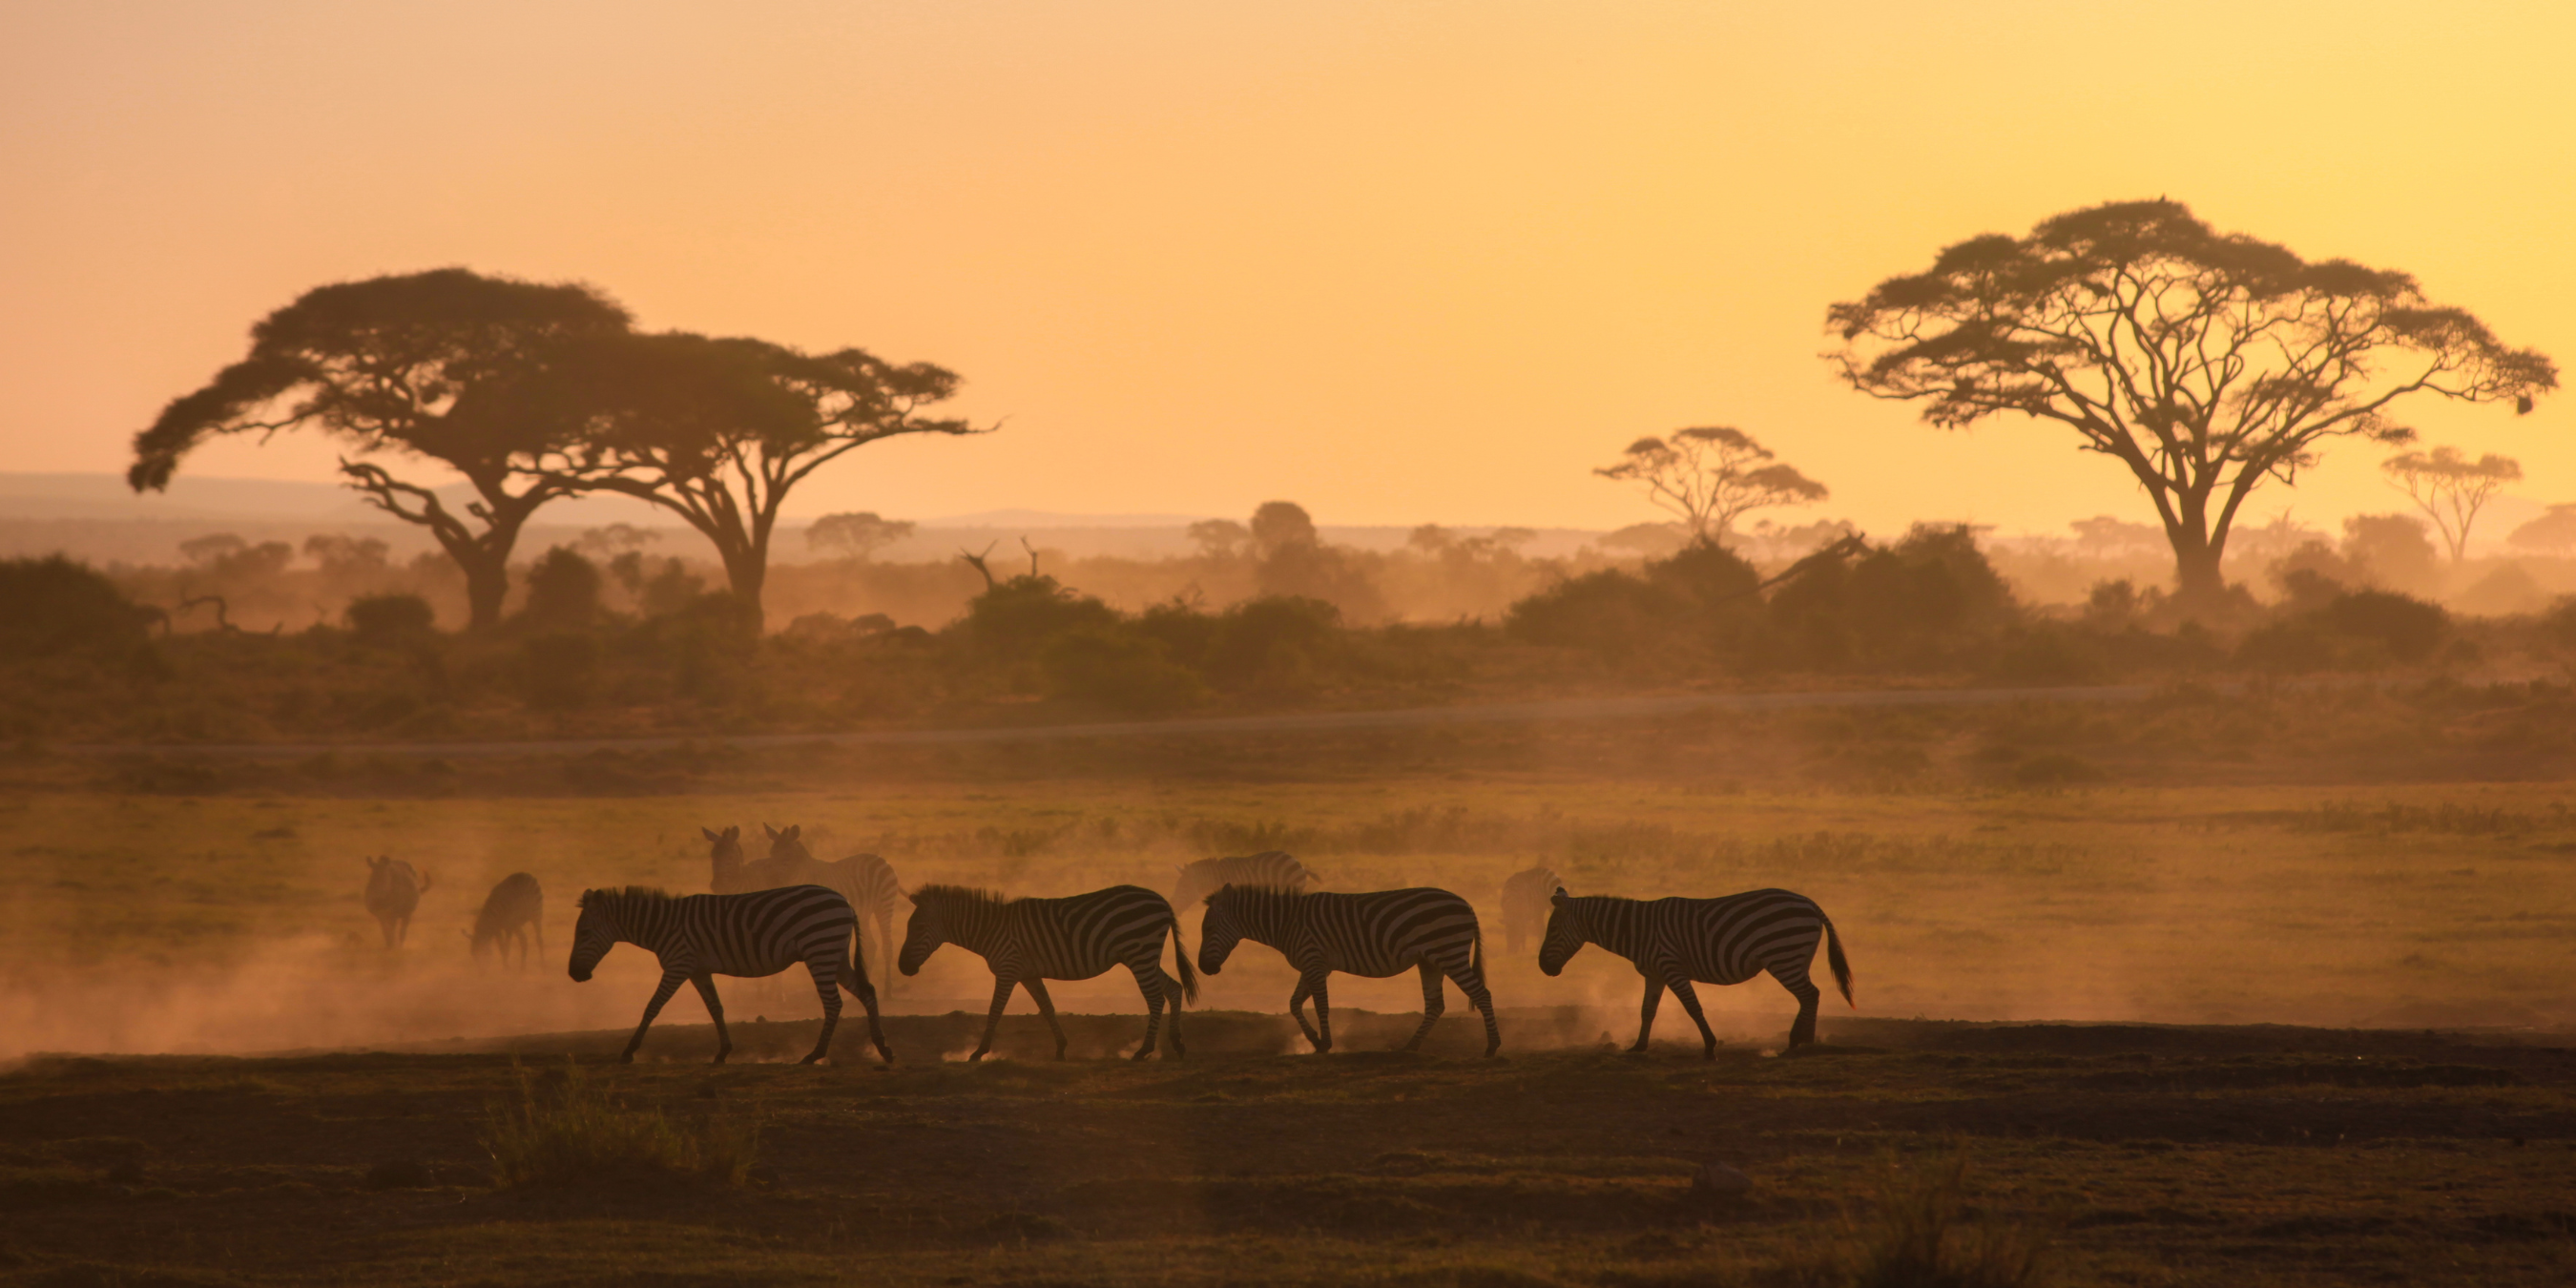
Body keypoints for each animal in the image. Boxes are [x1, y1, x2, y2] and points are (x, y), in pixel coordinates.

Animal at [567, 884, 893, 1066]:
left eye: (584, 933)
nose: (573, 974)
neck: (662, 926)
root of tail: (845, 901)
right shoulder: (698, 969)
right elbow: (716, 1008)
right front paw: (723, 1052)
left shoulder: (678, 964)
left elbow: (652, 1007)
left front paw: (628, 1051)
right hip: (834, 954)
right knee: (867, 992)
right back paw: (882, 1048)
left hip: (820, 950)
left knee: (833, 1003)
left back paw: (815, 1055)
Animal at [898, 884, 1195, 1062]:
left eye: (918, 927)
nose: (903, 967)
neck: (990, 930)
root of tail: (1161, 900)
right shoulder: (1028, 974)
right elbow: (1047, 1007)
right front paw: (1061, 1048)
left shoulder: (1008, 969)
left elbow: (995, 1010)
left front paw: (979, 1052)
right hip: (1143, 956)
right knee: (1174, 988)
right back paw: (1178, 1043)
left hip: (1140, 953)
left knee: (1155, 999)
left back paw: (1143, 1051)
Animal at [1198, 884, 1501, 1057]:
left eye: (1208, 929)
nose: (1203, 967)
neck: (1287, 922)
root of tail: (1466, 904)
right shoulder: (1313, 964)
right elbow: (1294, 1003)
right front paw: (1314, 1040)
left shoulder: (1314, 961)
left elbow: (1321, 1005)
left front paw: (1326, 1043)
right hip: (1430, 960)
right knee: (1436, 1004)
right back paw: (1410, 1047)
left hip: (1449, 952)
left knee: (1482, 994)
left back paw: (1492, 1047)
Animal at [1538, 887, 1854, 1058]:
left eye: (1551, 930)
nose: (1542, 967)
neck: (1637, 930)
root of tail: (1809, 903)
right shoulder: (1654, 974)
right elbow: (1647, 1010)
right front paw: (1639, 1046)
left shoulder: (1671, 967)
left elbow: (1693, 1007)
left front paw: (1710, 1048)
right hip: (1796, 958)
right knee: (1810, 995)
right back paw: (1803, 1042)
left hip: (1784, 956)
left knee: (1809, 994)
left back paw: (1796, 1044)